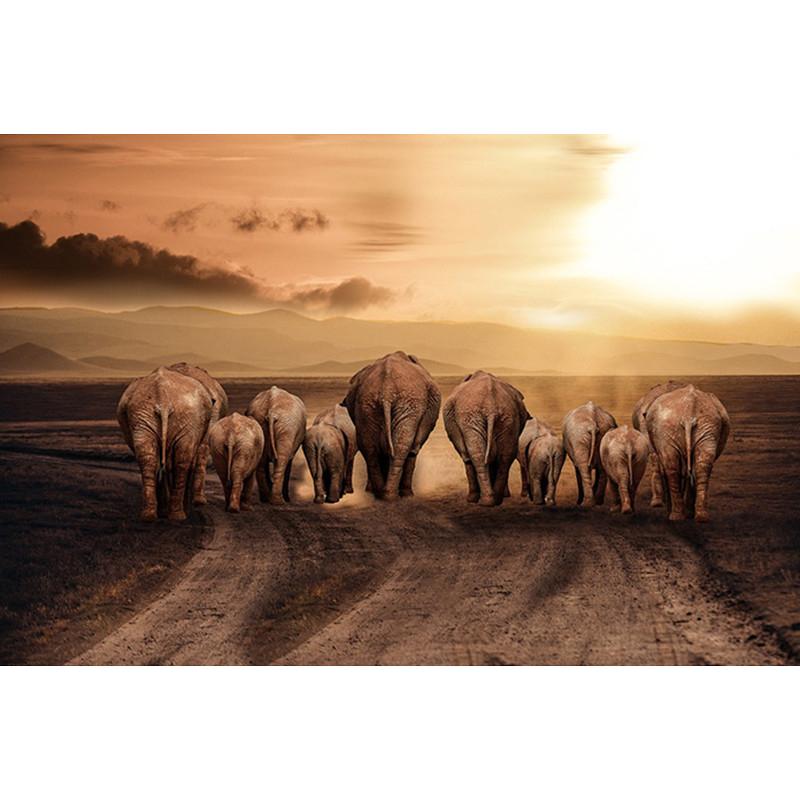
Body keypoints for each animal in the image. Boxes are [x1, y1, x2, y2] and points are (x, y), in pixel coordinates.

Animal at [117, 366, 213, 521]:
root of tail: (163, 399)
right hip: (182, 416)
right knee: (181, 462)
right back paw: (178, 515)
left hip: (143, 416)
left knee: (149, 459)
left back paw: (150, 515)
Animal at [342, 351, 441, 500]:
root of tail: (386, 391)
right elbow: (412, 449)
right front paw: (407, 494)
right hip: (405, 404)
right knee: (401, 447)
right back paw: (392, 496)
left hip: (368, 406)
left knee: (370, 448)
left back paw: (381, 494)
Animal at [443, 370, 530, 506]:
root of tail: (491, 407)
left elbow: (467, 457)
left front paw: (471, 500)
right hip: (508, 419)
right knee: (505, 456)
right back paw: (496, 500)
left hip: (473, 417)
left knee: (477, 455)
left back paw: (485, 501)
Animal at [645, 384, 730, 522]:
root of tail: (688, 412)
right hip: (707, 426)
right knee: (701, 466)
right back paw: (701, 517)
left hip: (669, 427)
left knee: (672, 468)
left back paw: (676, 516)